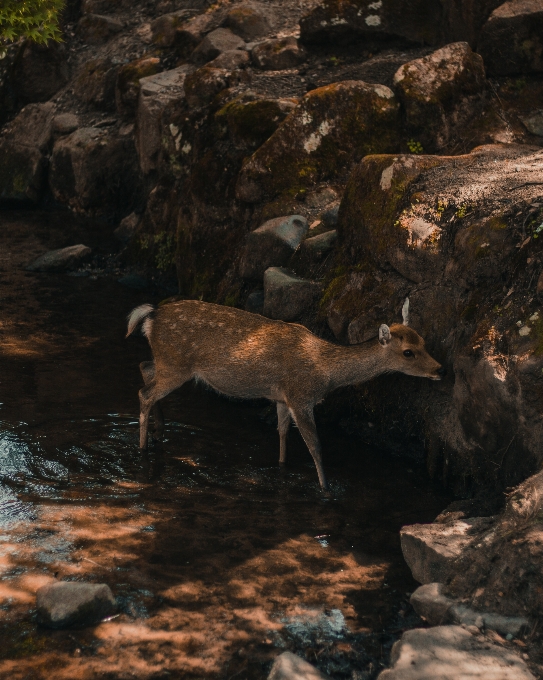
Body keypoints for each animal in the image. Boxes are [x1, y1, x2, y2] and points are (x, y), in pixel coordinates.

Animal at [127, 300, 446, 492]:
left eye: (423, 341)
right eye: (408, 352)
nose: (440, 369)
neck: (326, 370)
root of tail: (150, 317)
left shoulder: (281, 397)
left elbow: (282, 433)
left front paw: (281, 467)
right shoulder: (301, 396)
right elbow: (315, 446)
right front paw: (326, 488)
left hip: (169, 362)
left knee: (144, 367)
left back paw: (159, 430)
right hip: (177, 364)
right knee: (144, 393)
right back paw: (143, 449)